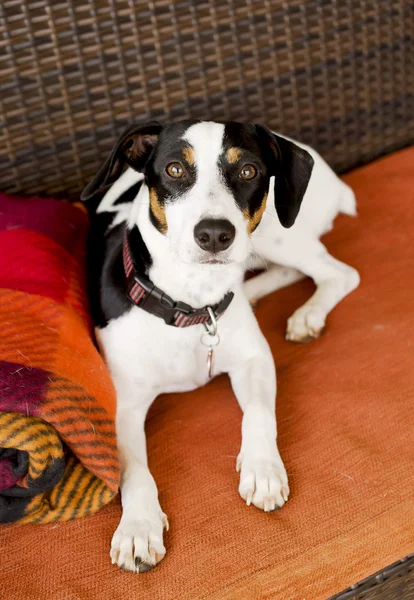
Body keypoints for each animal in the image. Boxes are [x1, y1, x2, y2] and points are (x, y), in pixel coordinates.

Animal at [81, 120, 360, 572]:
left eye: (248, 171)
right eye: (175, 169)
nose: (214, 234)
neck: (193, 306)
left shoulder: (254, 359)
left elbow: (259, 414)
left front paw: (262, 467)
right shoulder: (124, 407)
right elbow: (134, 470)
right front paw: (138, 526)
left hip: (278, 235)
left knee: (339, 273)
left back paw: (305, 314)